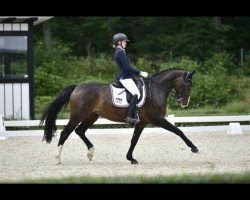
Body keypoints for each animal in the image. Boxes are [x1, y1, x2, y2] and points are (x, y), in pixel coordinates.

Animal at [39, 68, 199, 165]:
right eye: (187, 84)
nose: (184, 103)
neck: (156, 90)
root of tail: (76, 87)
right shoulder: (158, 119)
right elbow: (178, 131)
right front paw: (194, 148)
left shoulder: (142, 123)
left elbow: (134, 140)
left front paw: (131, 158)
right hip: (78, 116)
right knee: (66, 133)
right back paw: (58, 159)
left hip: (91, 116)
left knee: (80, 131)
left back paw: (90, 153)